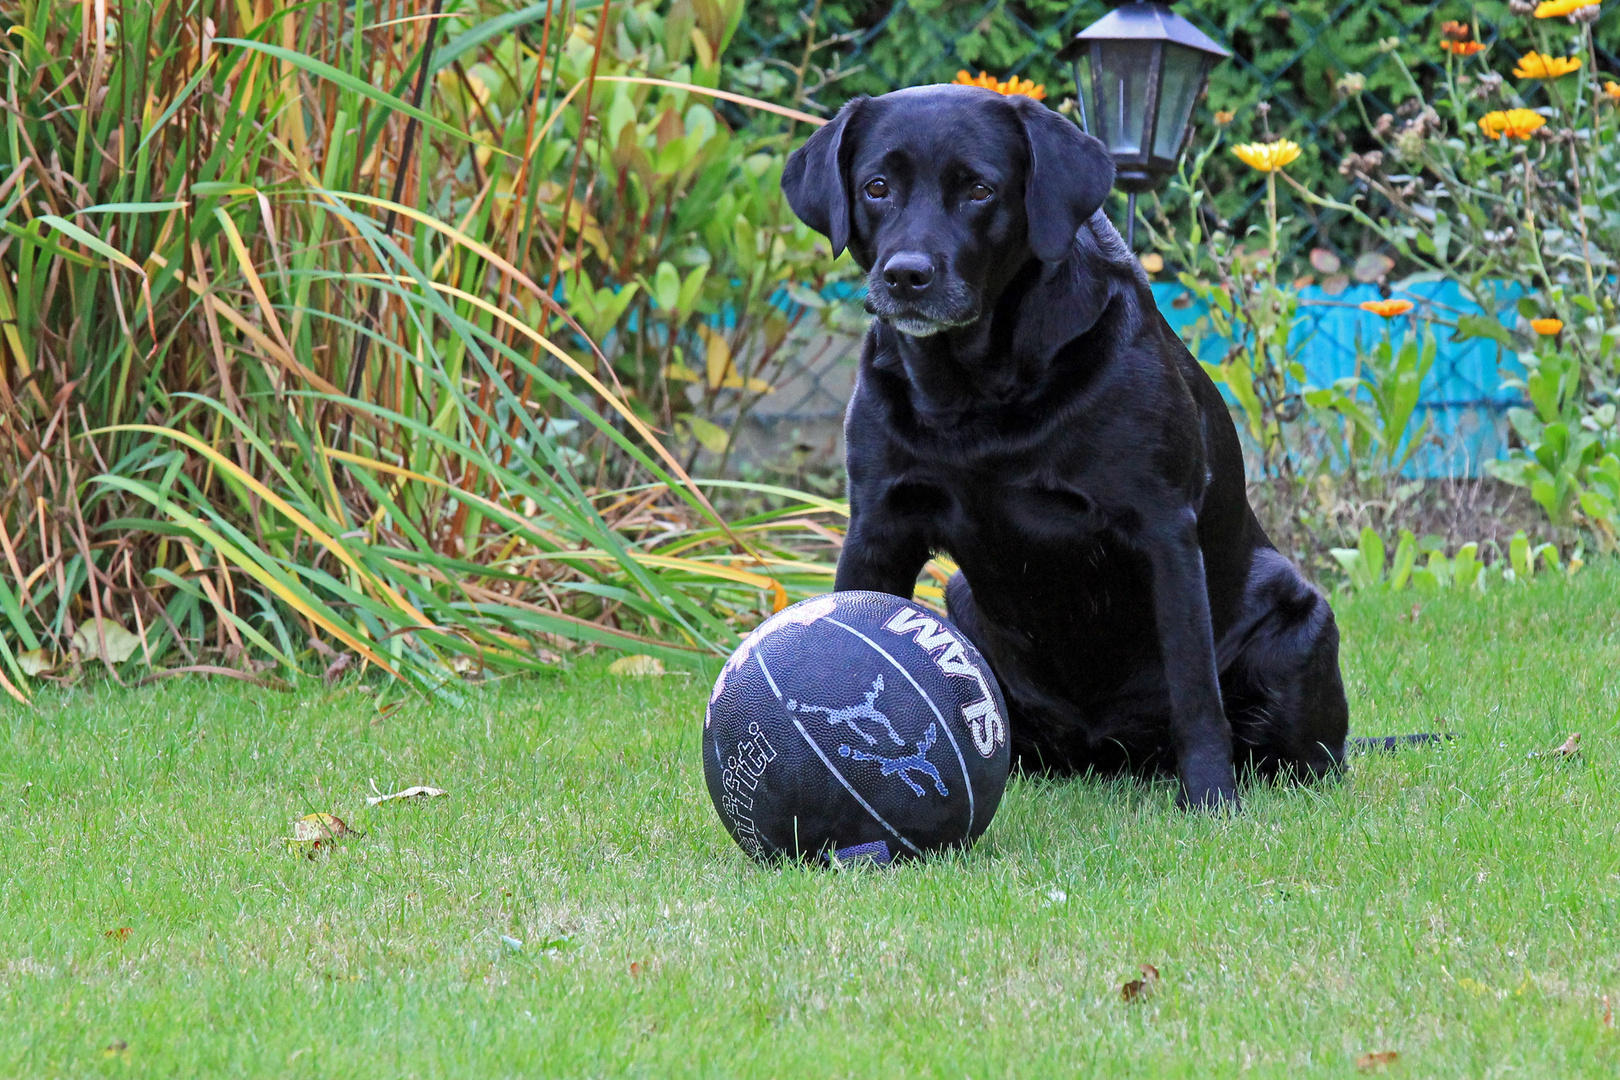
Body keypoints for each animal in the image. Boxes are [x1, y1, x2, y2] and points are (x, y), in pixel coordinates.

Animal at [784, 86, 1354, 809]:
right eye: (877, 187)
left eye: (979, 190)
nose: (906, 275)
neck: (977, 393)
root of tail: (1113, 751)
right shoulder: (879, 527)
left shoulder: (1163, 530)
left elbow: (1196, 692)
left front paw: (1210, 801)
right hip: (963, 604)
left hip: (1299, 626)